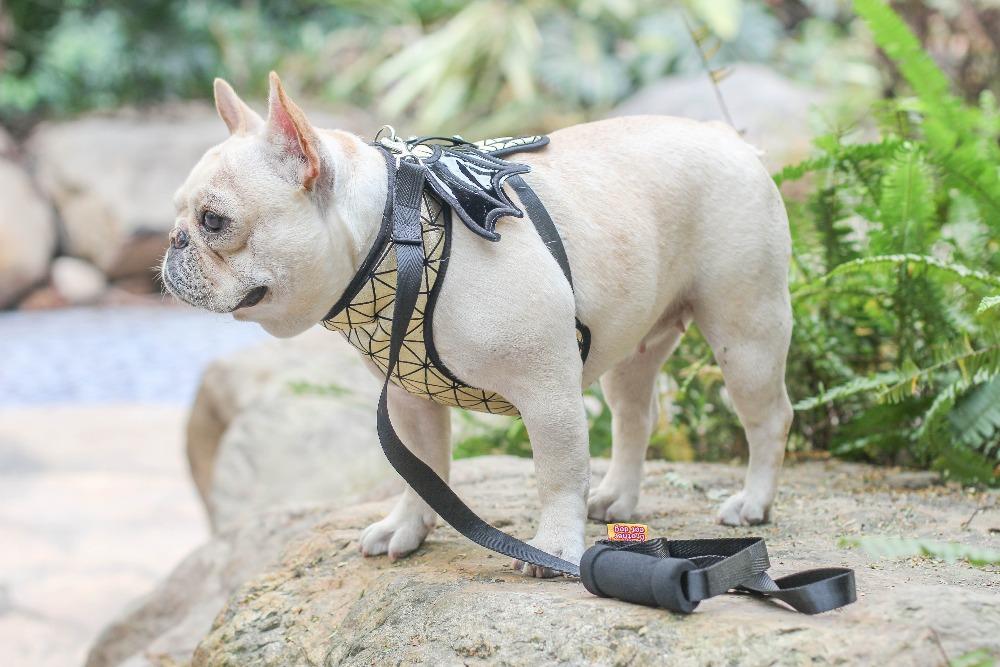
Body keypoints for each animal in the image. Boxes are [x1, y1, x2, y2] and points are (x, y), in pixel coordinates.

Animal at [160, 70, 792, 576]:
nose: (174, 242)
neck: (396, 235)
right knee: (636, 415)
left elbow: (559, 471)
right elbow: (420, 469)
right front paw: (407, 528)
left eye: (214, 220)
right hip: (636, 344)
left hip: (745, 331)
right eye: (181, 216)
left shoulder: (547, 389)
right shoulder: (410, 398)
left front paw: (554, 547)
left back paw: (752, 502)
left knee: (768, 417)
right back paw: (617, 497)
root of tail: (721, 134)